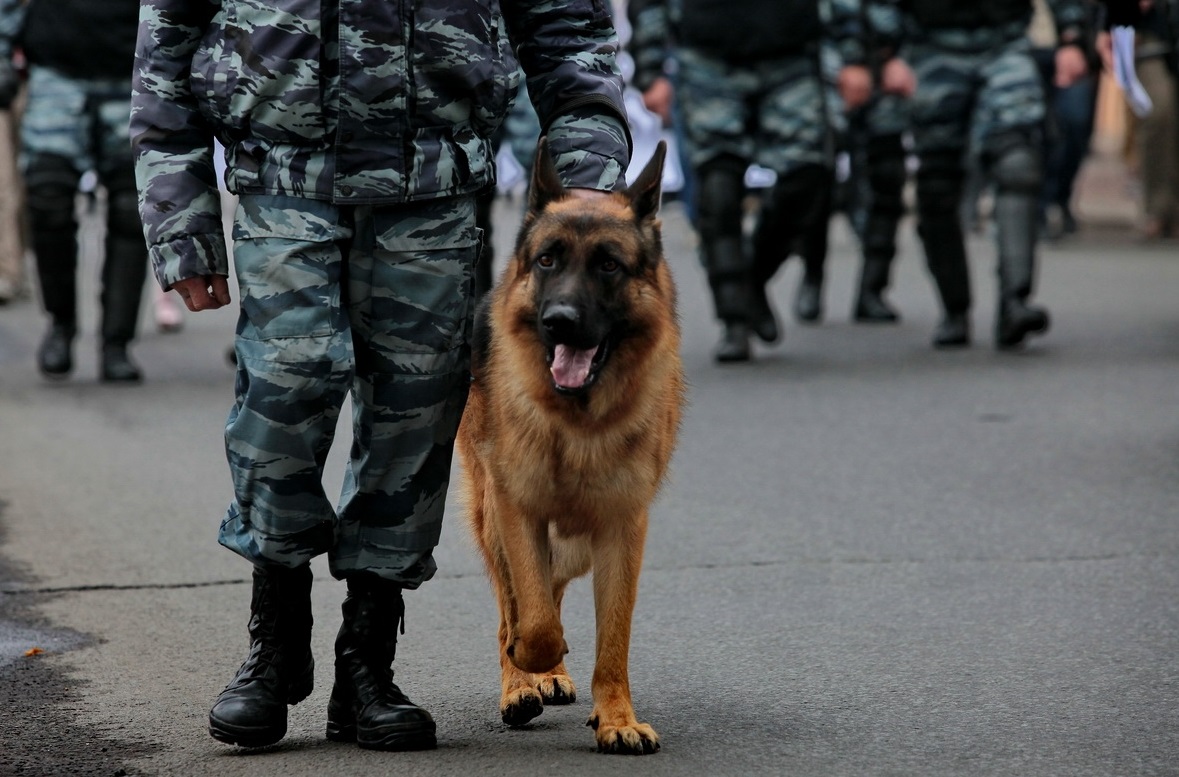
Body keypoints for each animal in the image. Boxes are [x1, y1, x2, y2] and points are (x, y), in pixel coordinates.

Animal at [455, 138, 688, 754]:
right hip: (493, 519)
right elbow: (532, 620)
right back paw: (521, 683)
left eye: (608, 264)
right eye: (547, 260)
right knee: (515, 604)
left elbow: (613, 638)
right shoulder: (517, 511)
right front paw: (530, 663)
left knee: (553, 584)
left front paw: (617, 718)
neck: (577, 423)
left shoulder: (621, 530)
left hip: (576, 542)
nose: (559, 321)